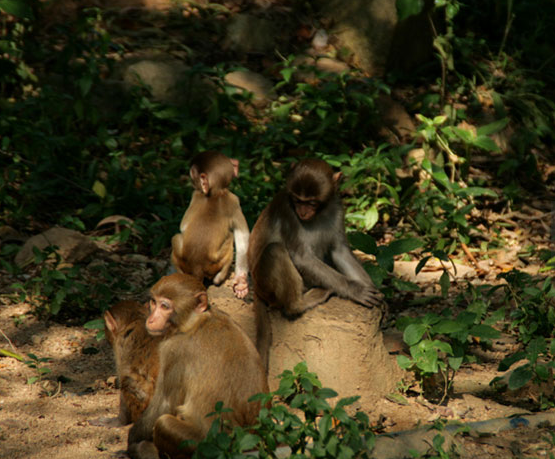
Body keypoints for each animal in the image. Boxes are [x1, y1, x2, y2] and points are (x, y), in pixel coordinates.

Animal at [129, 274, 272, 458]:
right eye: (154, 302)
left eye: (164, 306)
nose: (151, 319)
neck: (196, 321)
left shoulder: (173, 350)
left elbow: (163, 405)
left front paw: (132, 440)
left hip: (199, 446)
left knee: (164, 423)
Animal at [170, 153, 251, 300]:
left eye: (192, 175)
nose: (191, 182)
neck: (215, 193)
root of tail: (197, 267)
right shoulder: (233, 201)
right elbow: (243, 237)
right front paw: (241, 283)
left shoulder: (198, 195)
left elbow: (183, 227)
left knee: (177, 237)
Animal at [249, 158, 384, 370]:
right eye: (298, 201)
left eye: (311, 202)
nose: (302, 212)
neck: (319, 213)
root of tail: (255, 286)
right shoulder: (288, 211)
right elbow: (302, 257)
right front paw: (356, 290)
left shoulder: (337, 207)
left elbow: (340, 251)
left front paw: (373, 290)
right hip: (266, 285)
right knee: (275, 250)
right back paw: (298, 304)